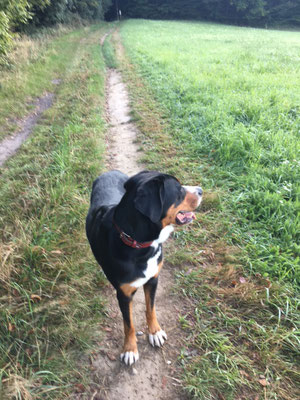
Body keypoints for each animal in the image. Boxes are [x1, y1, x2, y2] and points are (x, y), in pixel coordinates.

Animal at [85, 170, 203, 366]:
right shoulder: (124, 294)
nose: (201, 190)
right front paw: (130, 349)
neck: (139, 244)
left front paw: (155, 332)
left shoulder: (153, 279)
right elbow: (129, 325)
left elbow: (151, 309)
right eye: (178, 189)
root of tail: (110, 172)